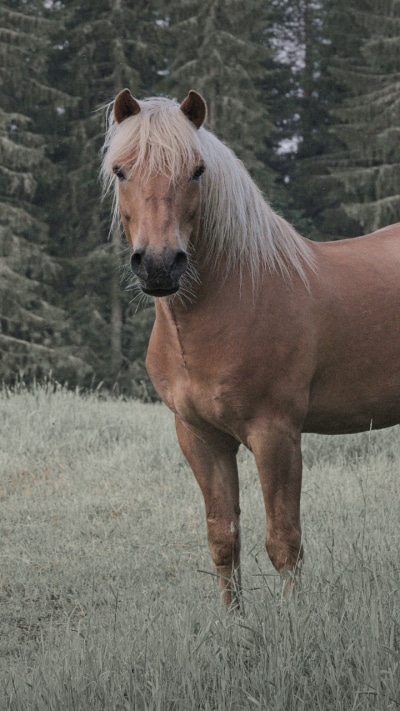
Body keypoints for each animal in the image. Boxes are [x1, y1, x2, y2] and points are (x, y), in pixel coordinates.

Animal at [101, 88, 400, 610]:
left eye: (197, 170)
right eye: (121, 171)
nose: (159, 265)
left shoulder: (275, 434)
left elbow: (284, 541)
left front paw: (295, 623)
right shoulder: (200, 438)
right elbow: (223, 538)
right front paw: (232, 622)